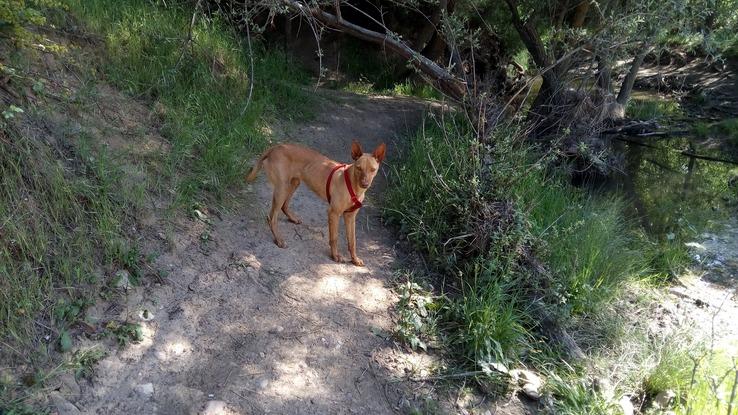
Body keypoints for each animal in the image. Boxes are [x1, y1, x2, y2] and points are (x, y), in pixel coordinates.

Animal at [246, 142, 386, 266]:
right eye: (359, 168)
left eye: (373, 170)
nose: (365, 184)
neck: (353, 186)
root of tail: (276, 147)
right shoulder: (333, 213)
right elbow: (334, 238)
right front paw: (335, 256)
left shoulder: (350, 217)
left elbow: (352, 241)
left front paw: (355, 259)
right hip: (282, 188)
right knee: (272, 217)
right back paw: (279, 240)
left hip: (293, 183)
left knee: (284, 206)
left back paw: (292, 219)